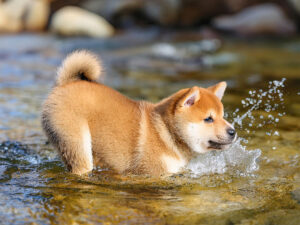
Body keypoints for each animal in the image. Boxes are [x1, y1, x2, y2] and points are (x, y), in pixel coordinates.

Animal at [41, 50, 236, 177]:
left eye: (222, 116)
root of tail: (65, 84)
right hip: (76, 143)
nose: (233, 131)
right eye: (208, 119)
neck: (166, 132)